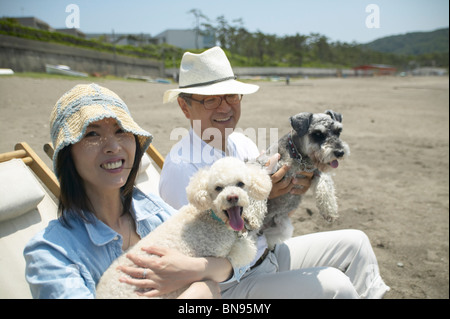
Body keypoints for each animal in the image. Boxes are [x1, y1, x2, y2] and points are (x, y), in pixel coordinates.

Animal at [96, 158, 270, 300]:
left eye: (240, 184)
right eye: (218, 188)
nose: (232, 197)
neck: (213, 217)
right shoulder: (220, 252)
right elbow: (243, 250)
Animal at [258, 110, 350, 250]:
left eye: (338, 131)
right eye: (317, 134)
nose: (340, 152)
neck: (299, 156)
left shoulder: (316, 172)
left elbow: (325, 186)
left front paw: (329, 211)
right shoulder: (269, 163)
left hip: (282, 228)